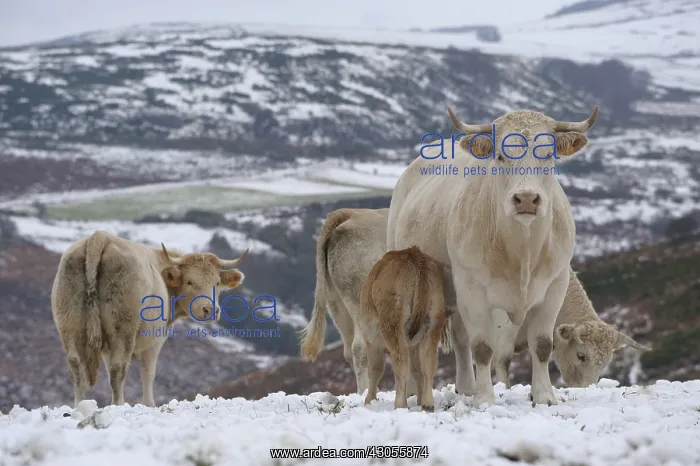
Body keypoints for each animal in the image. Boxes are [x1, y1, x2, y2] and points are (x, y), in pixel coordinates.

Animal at [51, 230, 248, 408]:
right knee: (118, 368)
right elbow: (148, 373)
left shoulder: (107, 347)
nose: (210, 310)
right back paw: (118, 405)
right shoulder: (155, 341)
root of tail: (98, 238)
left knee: (76, 364)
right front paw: (149, 404)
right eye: (189, 282)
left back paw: (80, 406)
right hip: (123, 328)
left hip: (68, 321)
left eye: (216, 282)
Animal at [358, 246, 451, 411]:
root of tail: (413, 256)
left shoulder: (371, 339)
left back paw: (400, 404)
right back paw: (427, 403)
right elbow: (416, 369)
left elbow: (375, 369)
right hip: (434, 319)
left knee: (401, 361)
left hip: (393, 322)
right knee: (428, 361)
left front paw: (369, 400)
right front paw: (419, 399)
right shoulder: (413, 344)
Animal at [387, 105, 601, 406]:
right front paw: (485, 398)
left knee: (460, 338)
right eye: (500, 155)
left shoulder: (554, 287)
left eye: (548, 154)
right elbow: (483, 347)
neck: (522, 249)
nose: (526, 198)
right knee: (411, 338)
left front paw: (544, 395)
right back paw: (411, 394)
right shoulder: (473, 291)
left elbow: (542, 345)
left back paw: (466, 386)